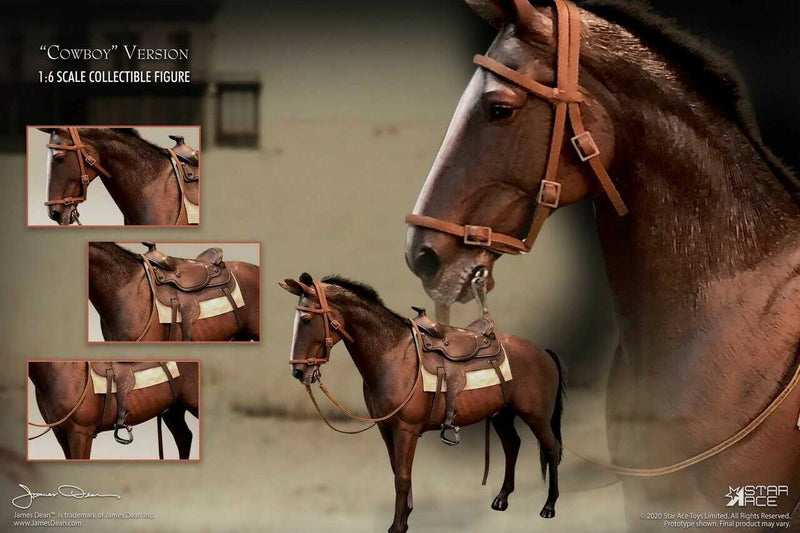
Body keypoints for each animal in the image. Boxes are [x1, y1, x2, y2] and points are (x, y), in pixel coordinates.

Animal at [281, 273, 566, 533]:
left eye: (306, 319)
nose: (298, 371)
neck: (393, 356)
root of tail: (543, 352)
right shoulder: (386, 430)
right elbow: (397, 471)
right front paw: (406, 515)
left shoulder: (406, 430)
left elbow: (402, 477)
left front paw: (398, 526)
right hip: (502, 415)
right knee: (512, 446)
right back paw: (502, 499)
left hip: (537, 417)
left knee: (552, 449)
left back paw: (549, 507)